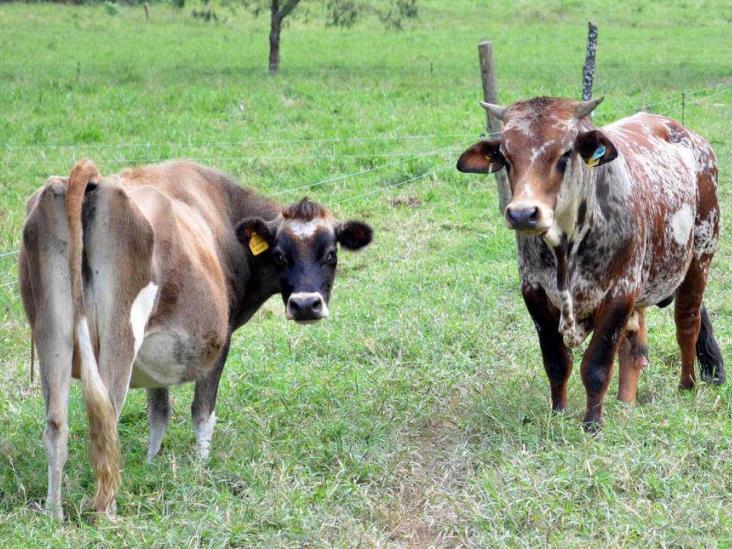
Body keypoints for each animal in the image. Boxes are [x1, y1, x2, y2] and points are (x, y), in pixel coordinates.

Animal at [18, 159, 372, 520]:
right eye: (279, 256)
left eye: (331, 254)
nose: (305, 304)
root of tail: (91, 179)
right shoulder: (221, 339)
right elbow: (202, 411)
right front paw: (202, 468)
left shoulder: (155, 355)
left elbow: (159, 412)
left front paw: (151, 463)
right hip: (120, 332)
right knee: (106, 418)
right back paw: (107, 513)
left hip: (51, 330)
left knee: (56, 424)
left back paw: (54, 513)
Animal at [454, 96, 724, 430]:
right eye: (505, 156)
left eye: (565, 153)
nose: (522, 214)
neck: (565, 248)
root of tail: (690, 136)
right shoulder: (533, 292)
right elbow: (557, 362)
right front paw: (558, 413)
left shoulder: (619, 292)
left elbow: (596, 365)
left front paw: (592, 424)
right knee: (634, 346)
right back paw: (625, 402)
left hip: (700, 257)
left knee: (687, 324)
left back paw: (687, 385)